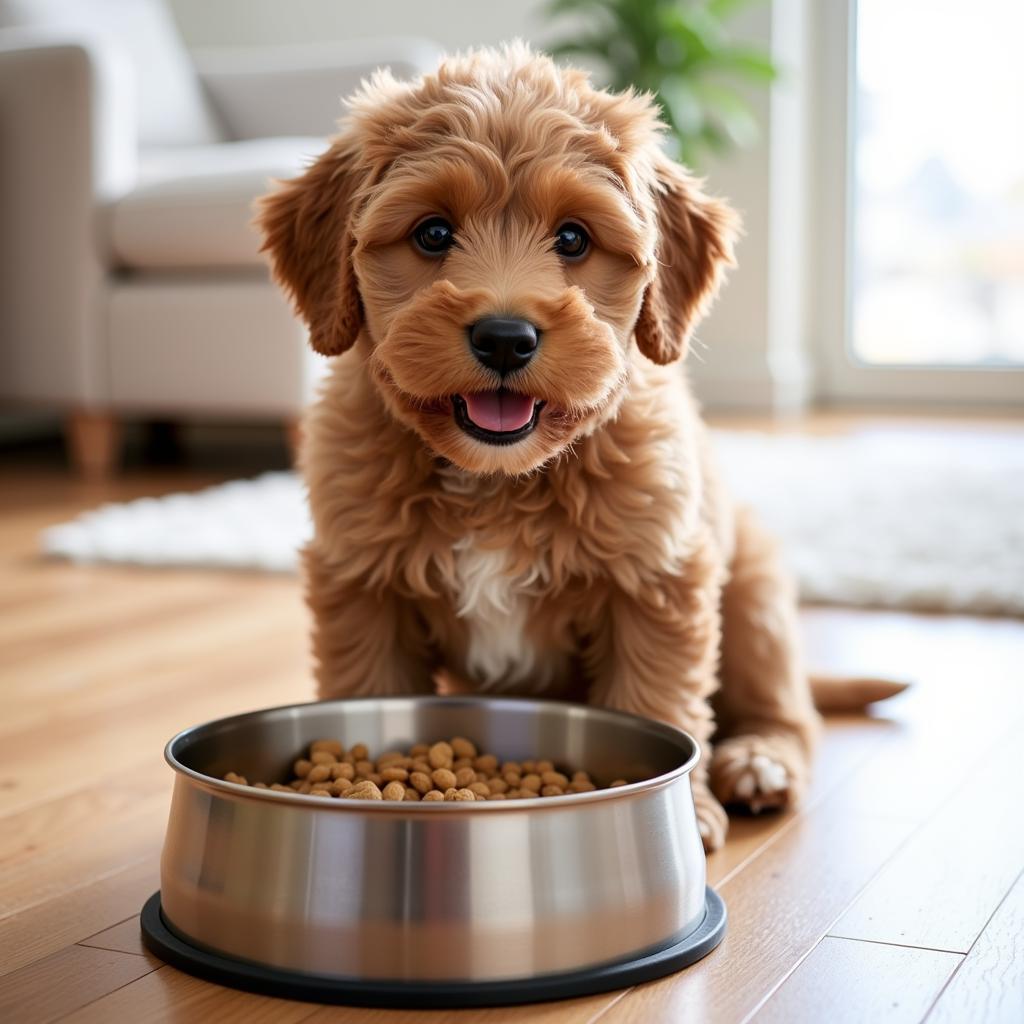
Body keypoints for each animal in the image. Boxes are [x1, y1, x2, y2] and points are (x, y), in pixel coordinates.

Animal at [260, 46, 819, 847]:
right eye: (433, 234)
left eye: (574, 238)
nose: (504, 337)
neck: (496, 480)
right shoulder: (363, 583)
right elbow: (369, 683)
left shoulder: (659, 580)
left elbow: (656, 695)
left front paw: (686, 809)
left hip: (757, 597)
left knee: (790, 713)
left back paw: (758, 762)